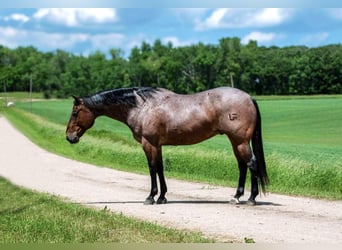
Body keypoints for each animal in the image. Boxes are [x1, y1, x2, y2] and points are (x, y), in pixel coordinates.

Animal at [66, 87, 270, 206]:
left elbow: (152, 169)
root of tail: (249, 97)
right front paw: (162, 196)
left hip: (240, 141)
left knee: (251, 164)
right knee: (242, 166)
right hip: (235, 142)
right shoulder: (157, 145)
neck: (141, 106)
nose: (69, 137)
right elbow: (160, 168)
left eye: (75, 112)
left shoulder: (148, 143)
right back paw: (236, 196)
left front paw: (151, 197)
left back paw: (251, 199)